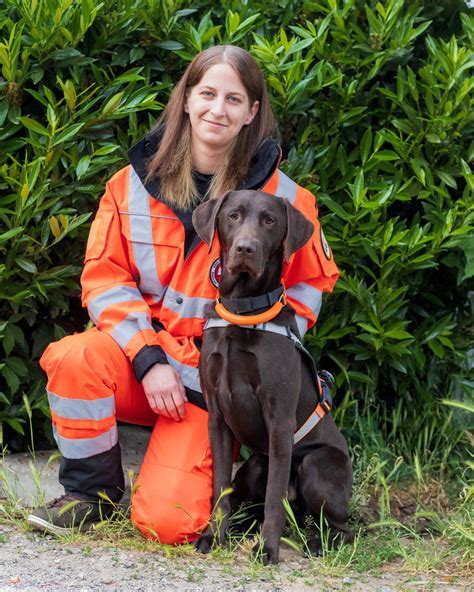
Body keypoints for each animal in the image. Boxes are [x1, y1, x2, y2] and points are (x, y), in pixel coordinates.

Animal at [193, 190, 352, 564]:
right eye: (233, 215)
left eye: (269, 220)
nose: (245, 248)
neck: (243, 311)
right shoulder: (217, 419)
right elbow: (220, 486)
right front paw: (213, 536)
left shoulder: (279, 419)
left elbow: (274, 499)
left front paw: (267, 548)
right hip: (254, 466)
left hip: (317, 464)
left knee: (343, 528)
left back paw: (319, 543)